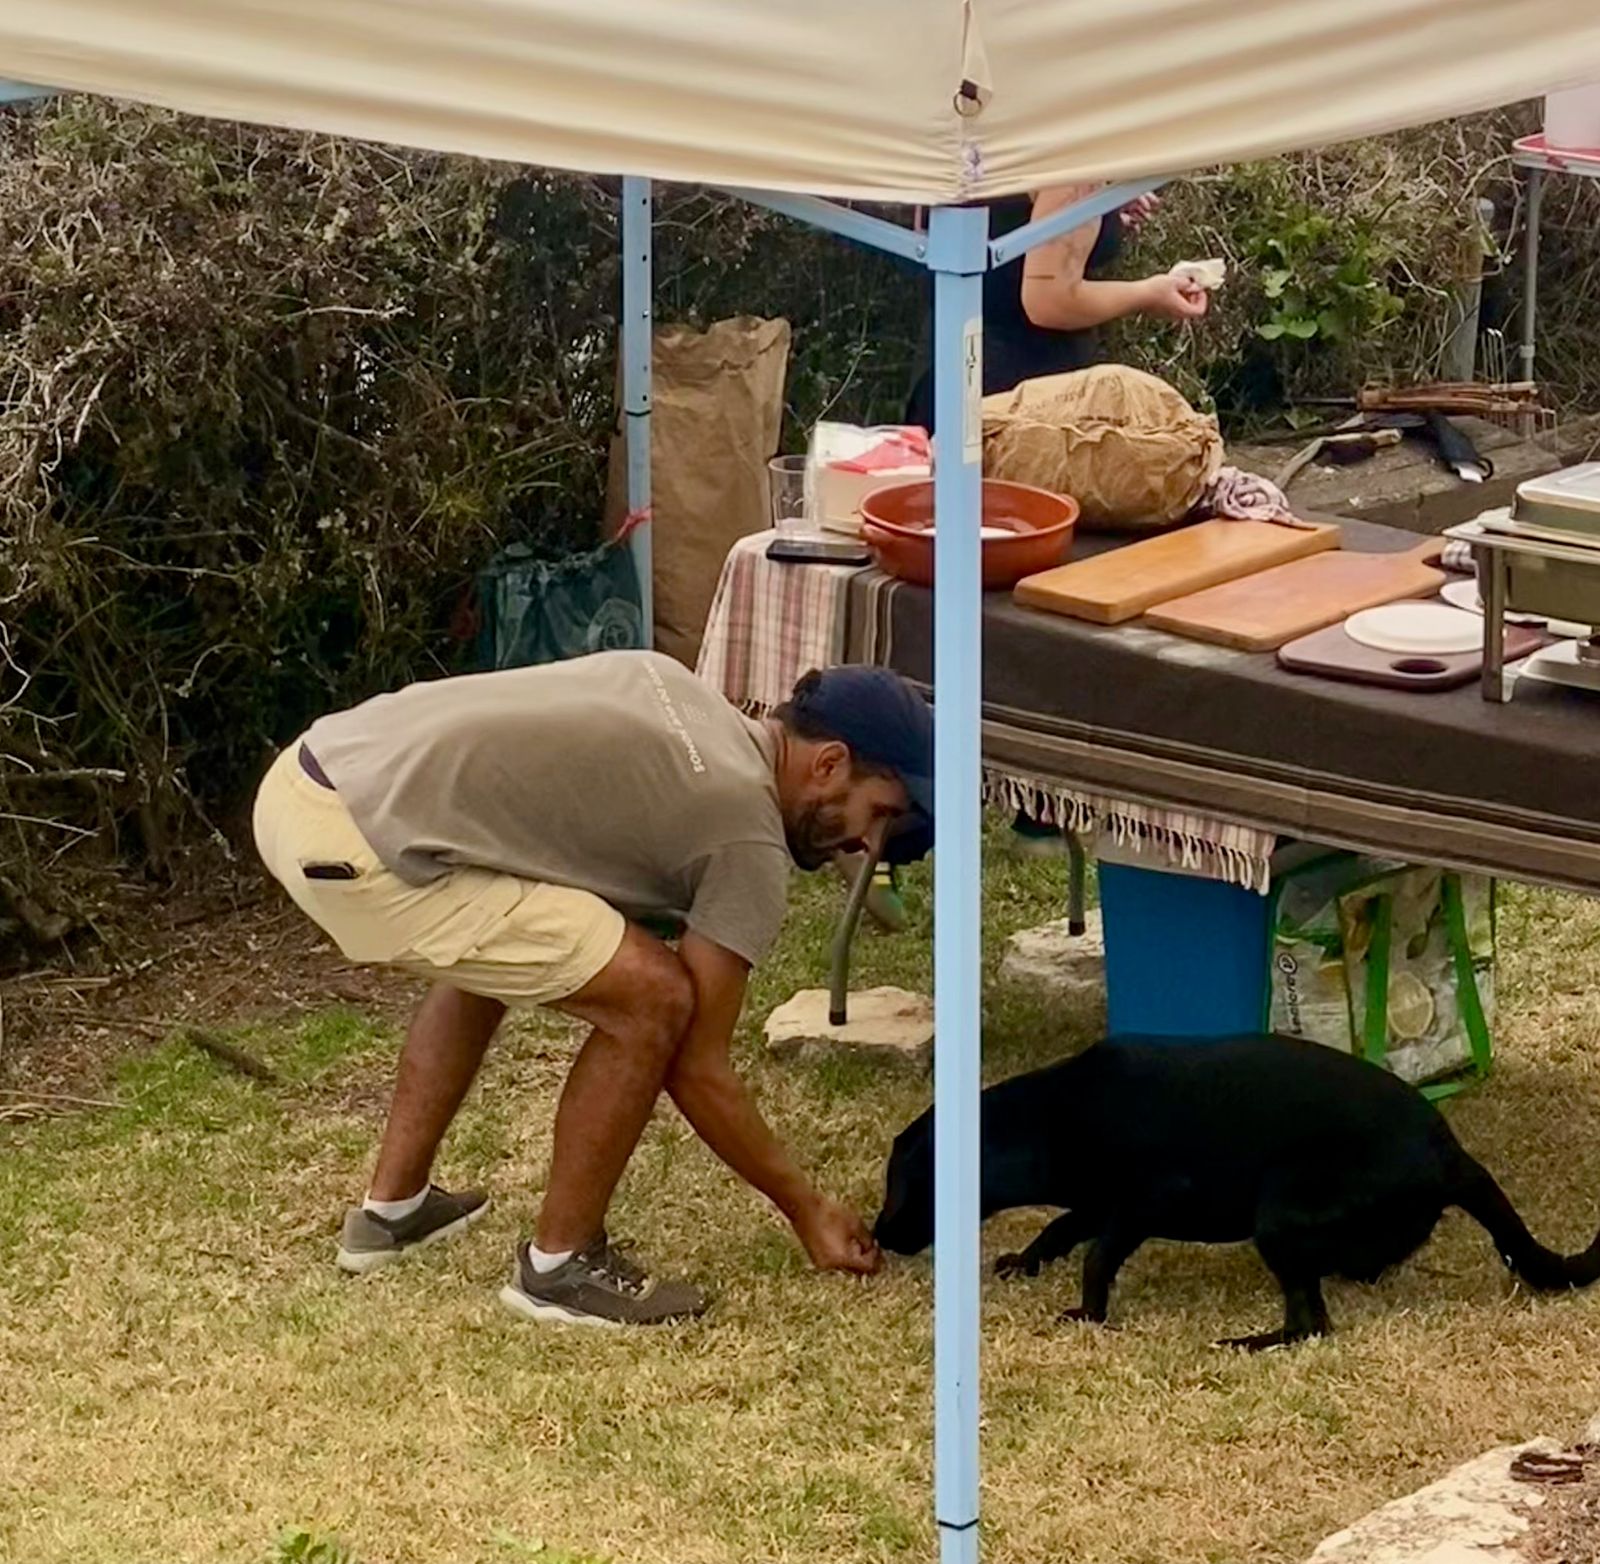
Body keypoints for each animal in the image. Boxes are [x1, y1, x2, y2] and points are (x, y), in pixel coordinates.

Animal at [873, 1033, 1600, 1348]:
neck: (1053, 1116)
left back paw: (1246, 1342)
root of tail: (1451, 1152)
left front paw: (1088, 1313)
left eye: (905, 1185)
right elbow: (1058, 1229)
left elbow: (1096, 1257)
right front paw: (1023, 1263)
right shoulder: (1102, 1202)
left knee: (1310, 1325)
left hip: (1277, 1211)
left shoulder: (1143, 1201)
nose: (876, 1234)